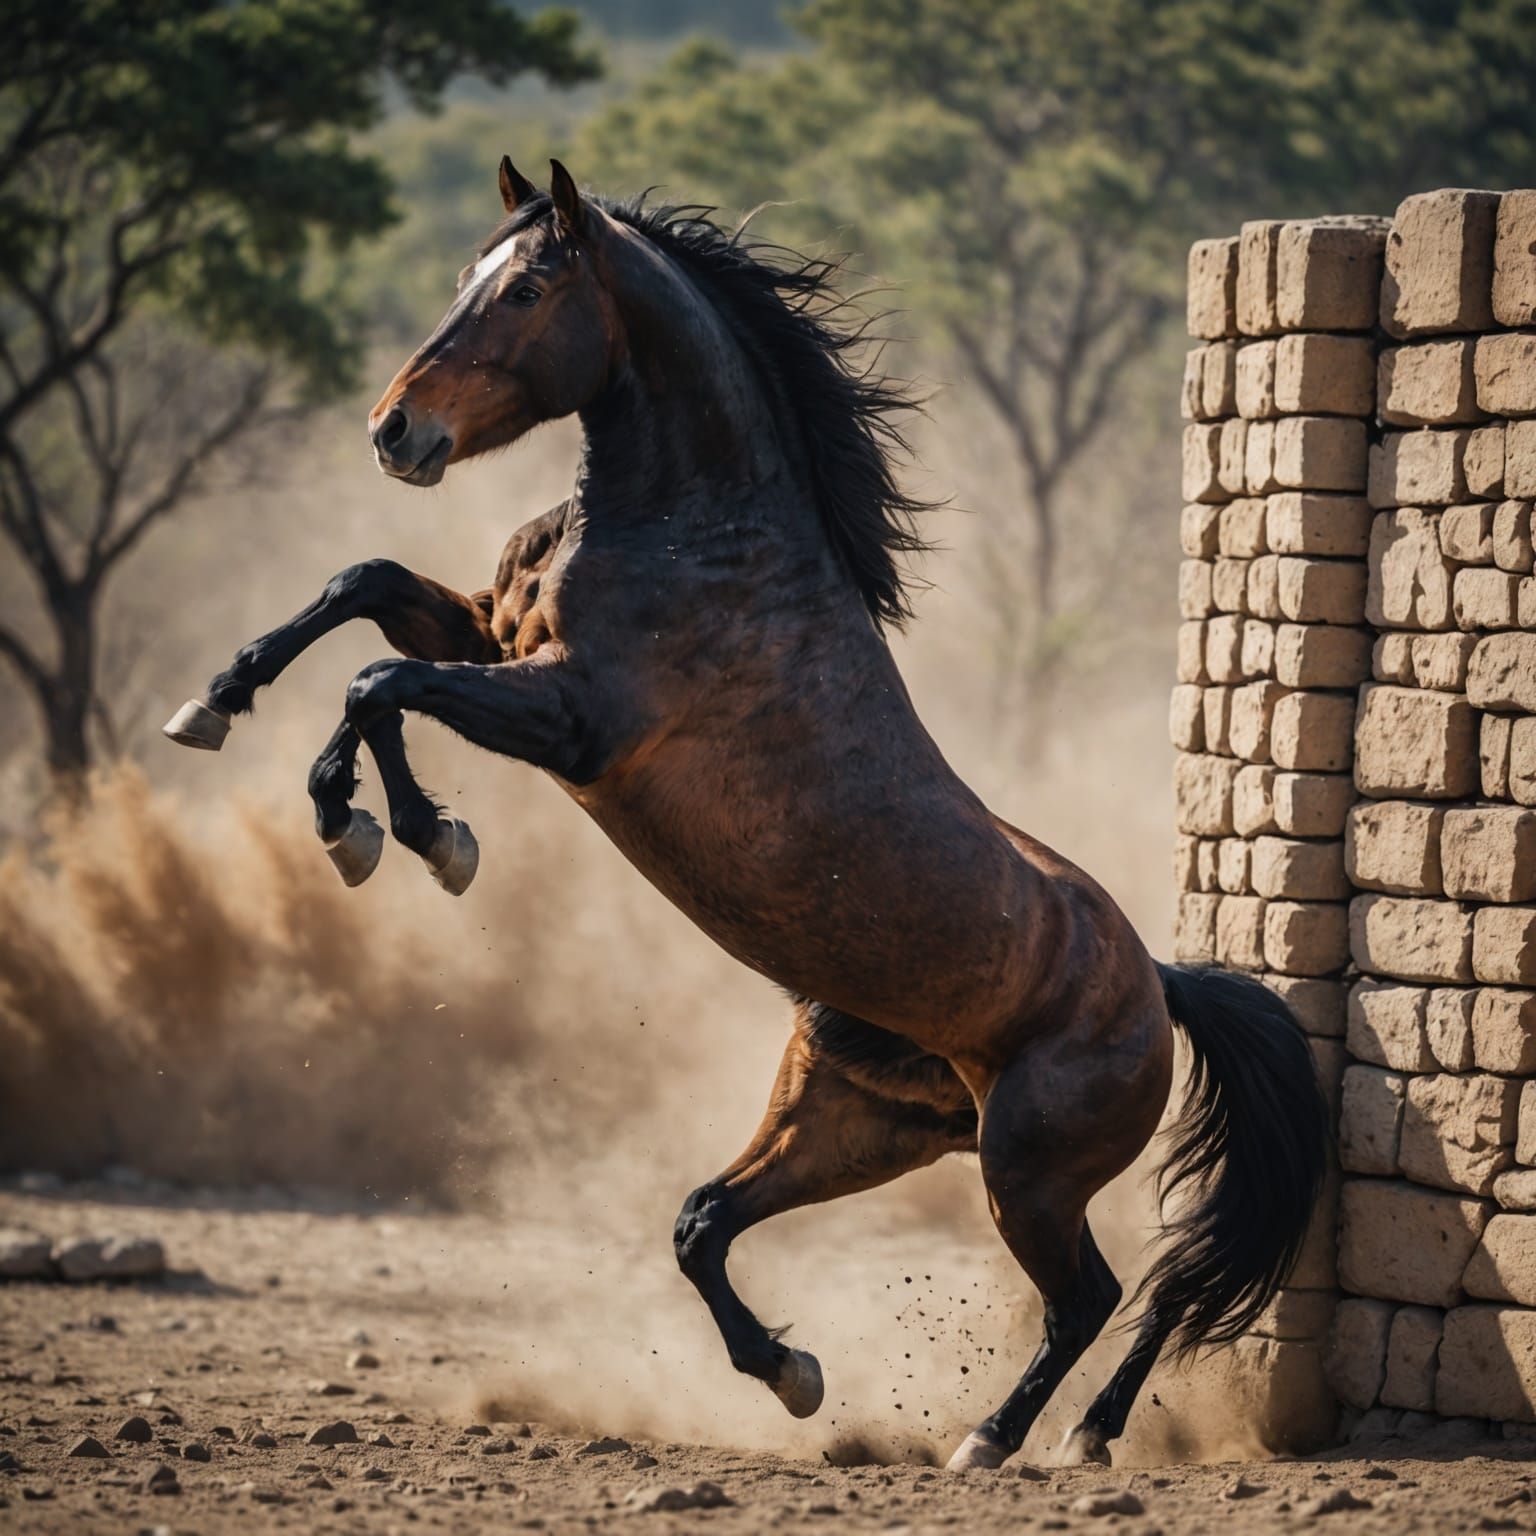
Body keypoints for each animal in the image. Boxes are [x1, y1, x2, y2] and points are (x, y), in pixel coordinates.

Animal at [163, 157, 1328, 1470]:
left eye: (527, 289)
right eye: (471, 269)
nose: (394, 431)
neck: (697, 530)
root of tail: (1157, 984)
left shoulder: (571, 716)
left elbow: (377, 684)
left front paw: (398, 833)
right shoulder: (492, 636)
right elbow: (357, 594)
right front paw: (220, 711)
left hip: (1024, 1171)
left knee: (1099, 1294)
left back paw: (996, 1439)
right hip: (856, 1126)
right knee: (710, 1222)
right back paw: (824, 1380)